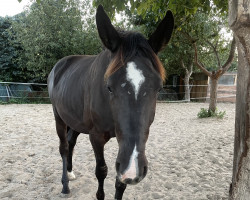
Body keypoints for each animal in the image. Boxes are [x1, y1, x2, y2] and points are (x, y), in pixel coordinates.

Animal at [48, 4, 174, 200]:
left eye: (159, 88)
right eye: (109, 87)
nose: (132, 169)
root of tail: (60, 65)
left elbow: (120, 183)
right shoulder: (96, 137)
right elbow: (101, 171)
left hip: (75, 121)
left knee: (70, 142)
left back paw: (69, 172)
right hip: (58, 117)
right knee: (64, 147)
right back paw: (65, 186)